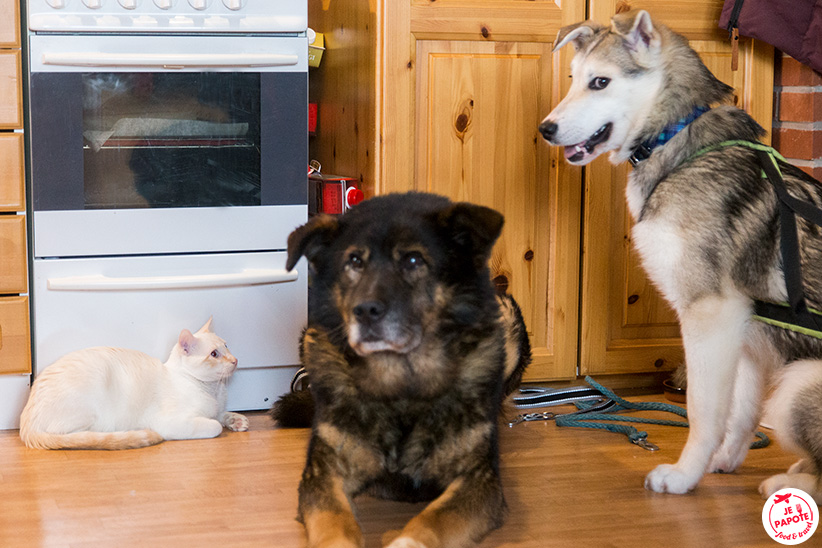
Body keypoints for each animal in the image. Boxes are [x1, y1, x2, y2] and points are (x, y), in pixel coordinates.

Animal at [19, 316, 248, 450]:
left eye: (227, 346)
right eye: (214, 354)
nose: (235, 360)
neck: (214, 391)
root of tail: (26, 425)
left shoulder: (217, 409)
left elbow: (222, 415)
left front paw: (237, 420)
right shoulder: (172, 422)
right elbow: (214, 425)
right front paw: (221, 424)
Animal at [276, 193, 536, 548]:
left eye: (413, 260)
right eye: (354, 261)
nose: (364, 311)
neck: (401, 385)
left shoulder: (478, 482)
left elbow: (435, 519)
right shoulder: (324, 474)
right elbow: (334, 522)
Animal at [544, 9, 822, 506]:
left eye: (600, 82)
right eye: (573, 79)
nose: (546, 129)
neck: (675, 143)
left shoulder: (710, 316)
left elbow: (703, 411)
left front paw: (683, 476)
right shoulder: (742, 330)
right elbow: (738, 413)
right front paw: (721, 462)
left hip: (796, 385)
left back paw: (788, 483)